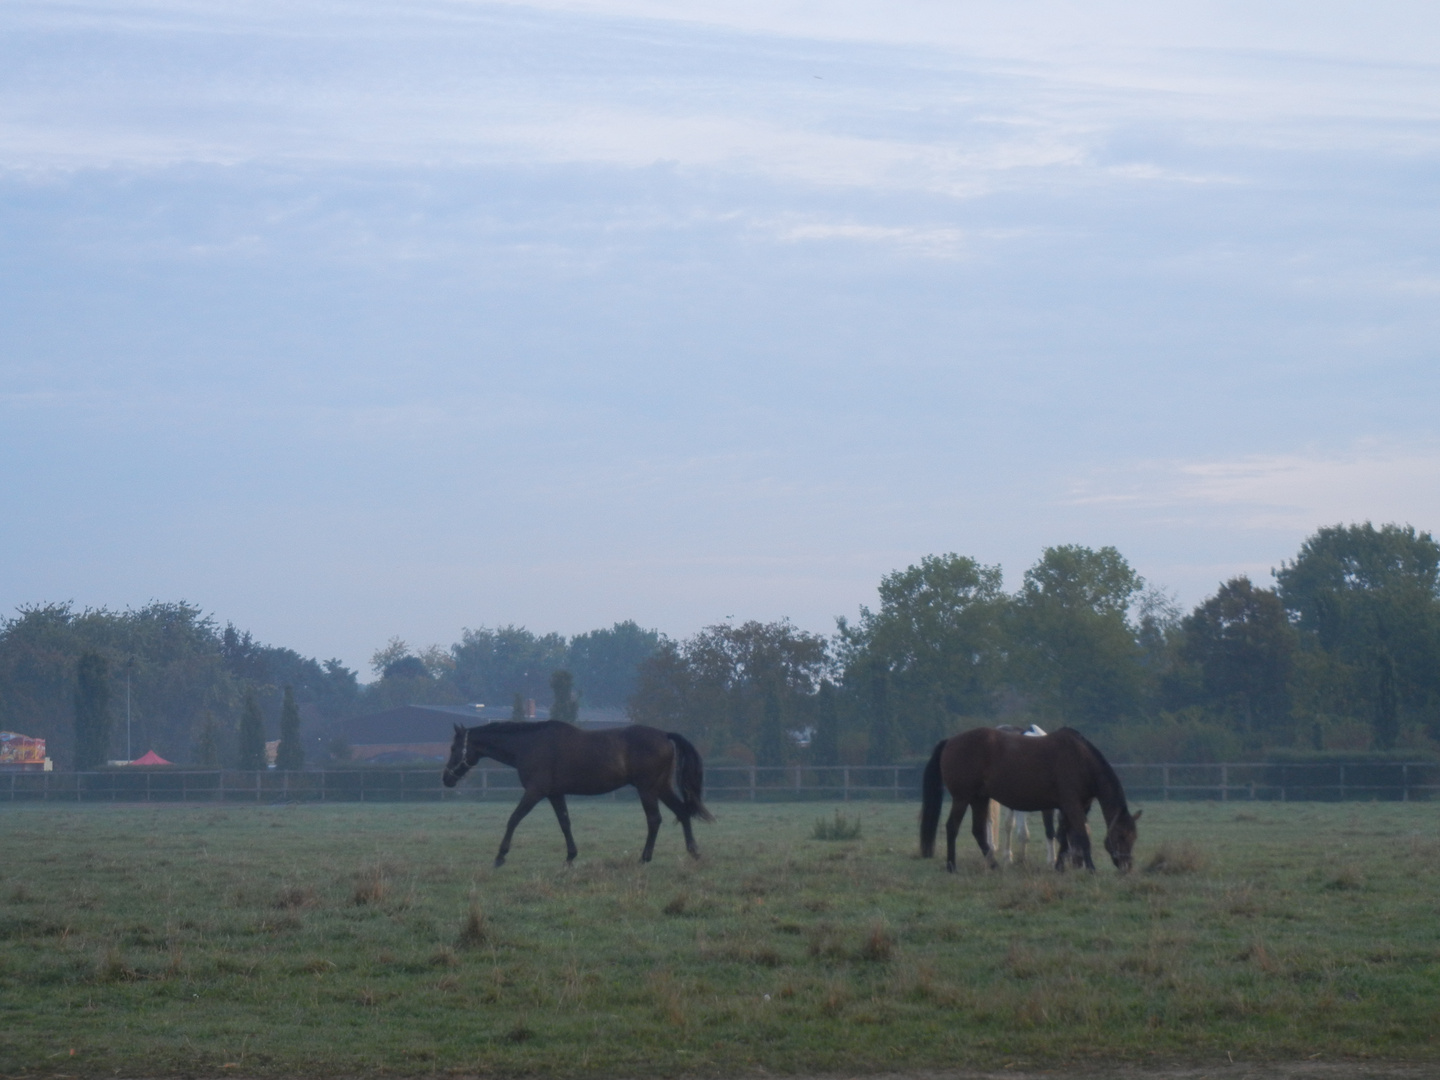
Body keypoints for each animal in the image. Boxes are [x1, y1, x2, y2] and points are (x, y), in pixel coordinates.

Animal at [434, 722, 711, 869]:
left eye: (454, 747)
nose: (446, 778)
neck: (529, 745)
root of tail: (664, 734)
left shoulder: (535, 792)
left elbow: (513, 819)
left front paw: (500, 856)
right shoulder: (556, 794)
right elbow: (565, 823)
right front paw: (570, 857)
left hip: (647, 789)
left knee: (654, 820)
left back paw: (645, 858)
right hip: (661, 787)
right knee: (682, 812)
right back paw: (694, 852)